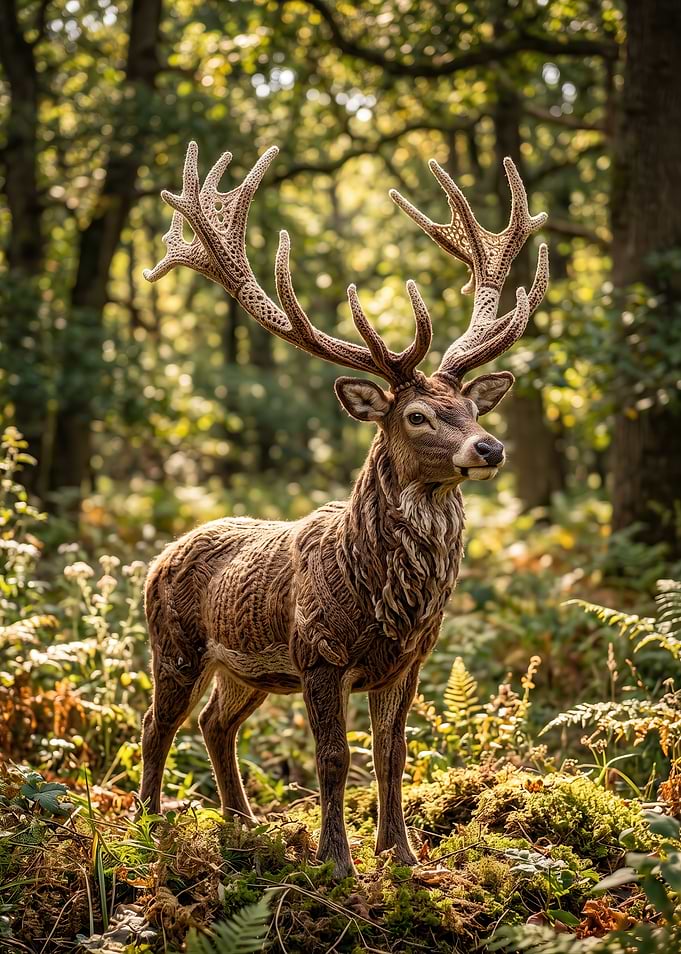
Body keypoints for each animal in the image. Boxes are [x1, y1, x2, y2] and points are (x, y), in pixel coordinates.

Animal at [140, 141, 549, 878]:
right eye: (416, 415)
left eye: (472, 407)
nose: (490, 447)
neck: (384, 597)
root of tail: (159, 556)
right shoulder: (318, 654)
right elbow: (333, 759)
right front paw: (336, 861)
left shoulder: (407, 663)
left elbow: (392, 755)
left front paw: (401, 854)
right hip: (175, 643)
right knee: (157, 725)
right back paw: (146, 820)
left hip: (248, 671)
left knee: (216, 723)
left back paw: (243, 822)